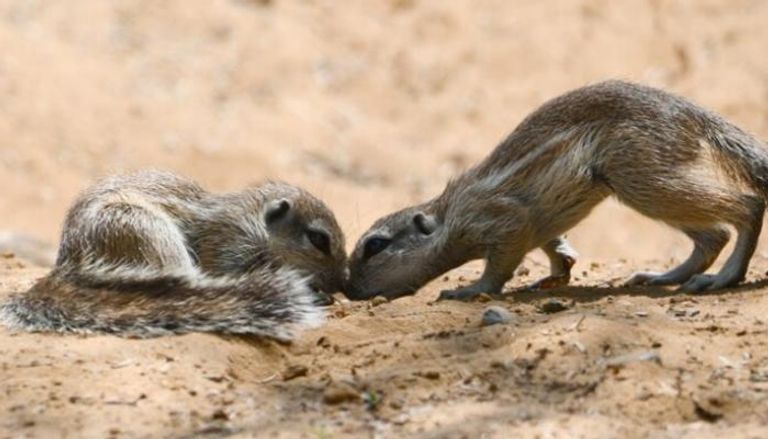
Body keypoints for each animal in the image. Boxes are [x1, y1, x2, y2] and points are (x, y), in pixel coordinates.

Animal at [0, 169, 346, 340]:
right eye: (318, 239)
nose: (342, 282)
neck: (251, 221)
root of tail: (67, 266)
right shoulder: (227, 246)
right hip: (143, 228)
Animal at [346, 81, 768, 302]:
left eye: (375, 246)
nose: (348, 289)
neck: (449, 217)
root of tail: (696, 116)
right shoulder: (536, 224)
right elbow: (552, 244)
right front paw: (557, 270)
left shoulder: (502, 219)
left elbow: (498, 267)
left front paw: (469, 290)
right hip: (648, 183)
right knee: (713, 237)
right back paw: (661, 276)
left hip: (643, 177)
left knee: (746, 207)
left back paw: (724, 278)